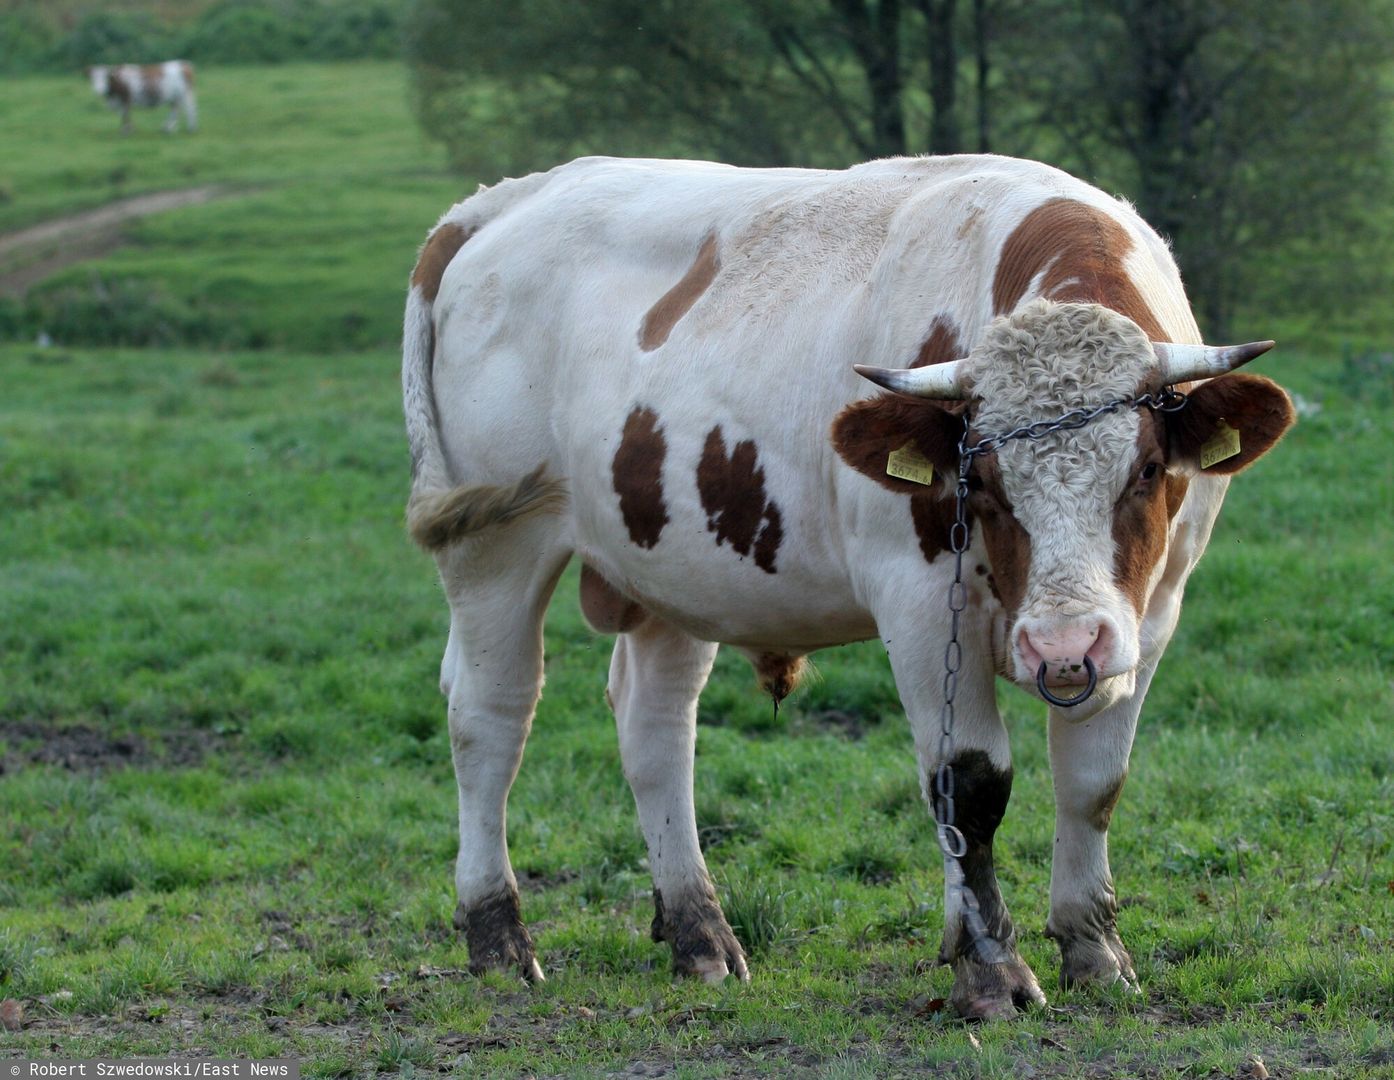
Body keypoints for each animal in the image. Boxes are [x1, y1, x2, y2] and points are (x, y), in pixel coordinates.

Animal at [398, 156, 1288, 1020]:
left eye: (1147, 469)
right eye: (985, 482)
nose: (1061, 643)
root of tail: (508, 199)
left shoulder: (1152, 613)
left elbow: (1094, 782)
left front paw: (1095, 953)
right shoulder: (920, 603)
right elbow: (967, 785)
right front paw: (990, 972)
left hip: (669, 566)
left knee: (655, 727)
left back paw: (700, 934)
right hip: (495, 546)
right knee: (490, 717)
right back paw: (499, 936)